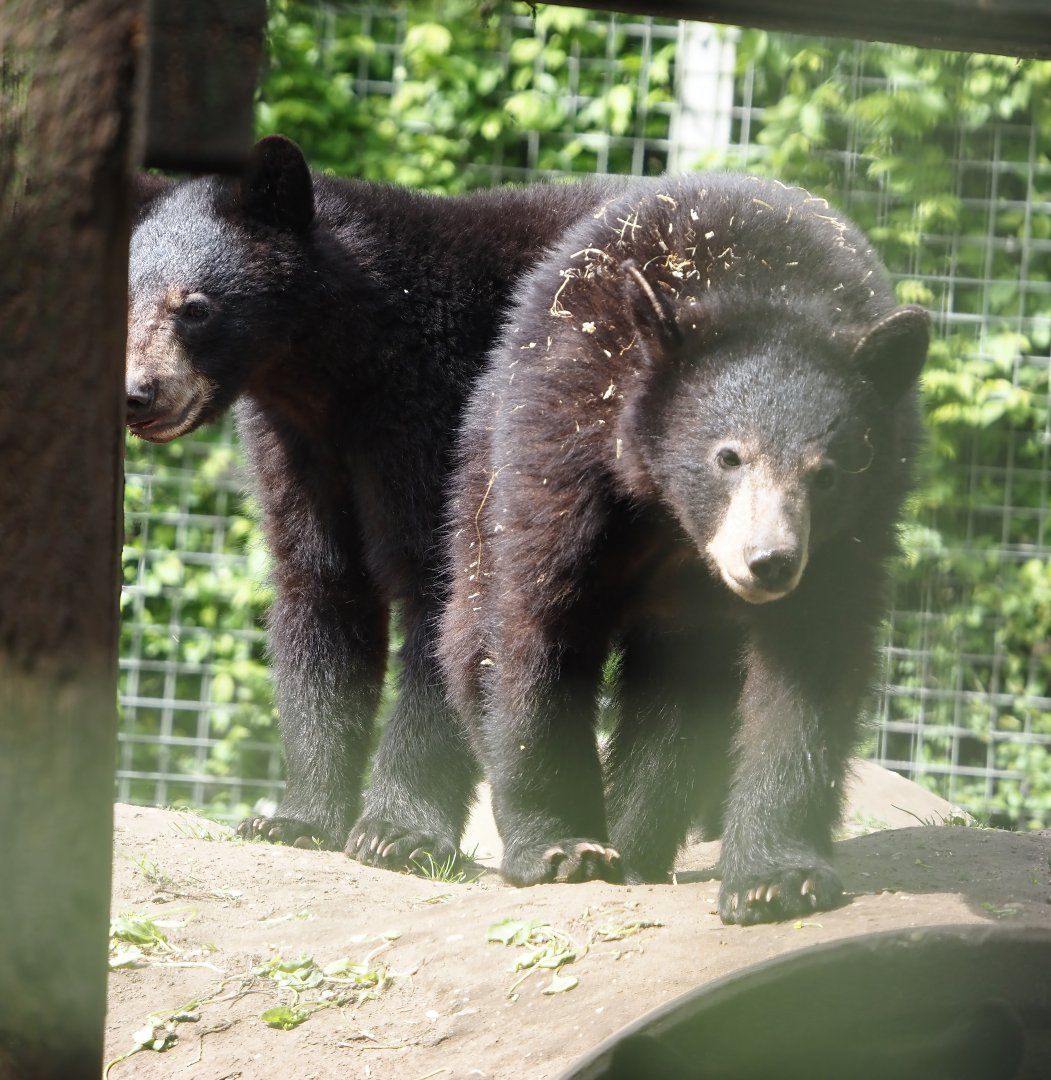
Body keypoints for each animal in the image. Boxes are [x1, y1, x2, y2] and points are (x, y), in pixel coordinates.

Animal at [126, 134, 623, 866]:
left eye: (194, 307)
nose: (138, 394)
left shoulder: (438, 417)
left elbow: (447, 589)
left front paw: (398, 830)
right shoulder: (300, 446)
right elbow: (323, 590)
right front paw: (296, 817)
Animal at [439, 173, 929, 924]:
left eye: (827, 473)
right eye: (728, 456)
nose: (768, 562)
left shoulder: (854, 531)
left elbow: (808, 663)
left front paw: (776, 877)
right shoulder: (563, 437)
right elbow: (538, 622)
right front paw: (559, 848)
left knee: (674, 706)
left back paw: (638, 845)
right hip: (476, 477)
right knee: (469, 632)